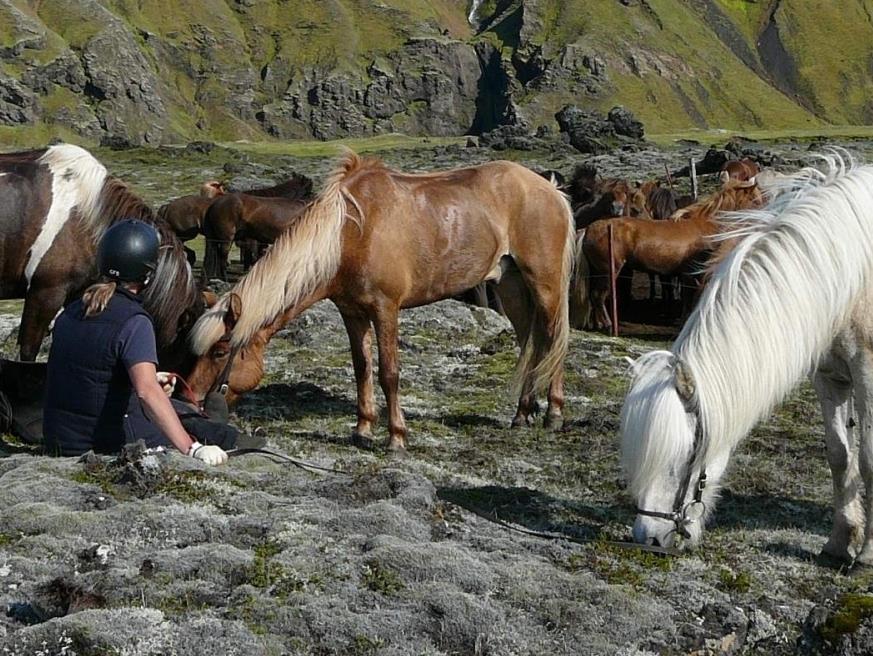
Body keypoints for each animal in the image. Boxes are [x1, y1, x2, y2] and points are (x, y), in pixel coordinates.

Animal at [186, 150, 575, 451]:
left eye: (220, 351)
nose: (192, 401)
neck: (349, 235)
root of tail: (551, 190)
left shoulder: (386, 309)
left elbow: (389, 371)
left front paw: (396, 437)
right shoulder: (352, 313)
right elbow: (362, 368)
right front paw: (362, 430)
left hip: (545, 285)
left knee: (553, 337)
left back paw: (554, 413)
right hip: (511, 287)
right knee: (530, 341)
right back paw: (522, 412)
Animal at [577, 180, 763, 330]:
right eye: (755, 200)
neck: (703, 226)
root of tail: (589, 229)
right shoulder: (691, 274)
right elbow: (689, 298)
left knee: (593, 297)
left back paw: (597, 324)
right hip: (608, 271)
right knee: (598, 296)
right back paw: (607, 325)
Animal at [619, 153, 873, 567]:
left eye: (683, 457)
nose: (649, 538)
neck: (851, 272)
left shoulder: (867, 375)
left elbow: (867, 458)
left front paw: (866, 553)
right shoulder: (830, 377)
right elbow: (839, 455)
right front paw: (840, 542)